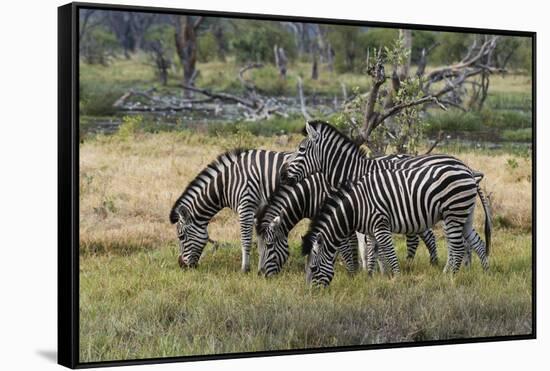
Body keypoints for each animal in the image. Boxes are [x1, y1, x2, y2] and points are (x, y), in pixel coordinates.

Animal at [256, 171, 438, 276]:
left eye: (269, 245)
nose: (262, 274)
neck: (312, 194)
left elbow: (345, 246)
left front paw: (352, 271)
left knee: (426, 235)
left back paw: (430, 263)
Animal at [306, 166, 484, 288]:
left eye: (313, 269)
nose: (312, 292)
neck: (357, 207)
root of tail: (468, 172)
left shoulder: (380, 226)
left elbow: (390, 253)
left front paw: (397, 278)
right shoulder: (371, 231)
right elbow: (371, 254)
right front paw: (370, 278)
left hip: (454, 214)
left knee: (458, 248)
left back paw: (450, 277)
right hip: (464, 215)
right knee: (478, 243)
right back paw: (484, 271)